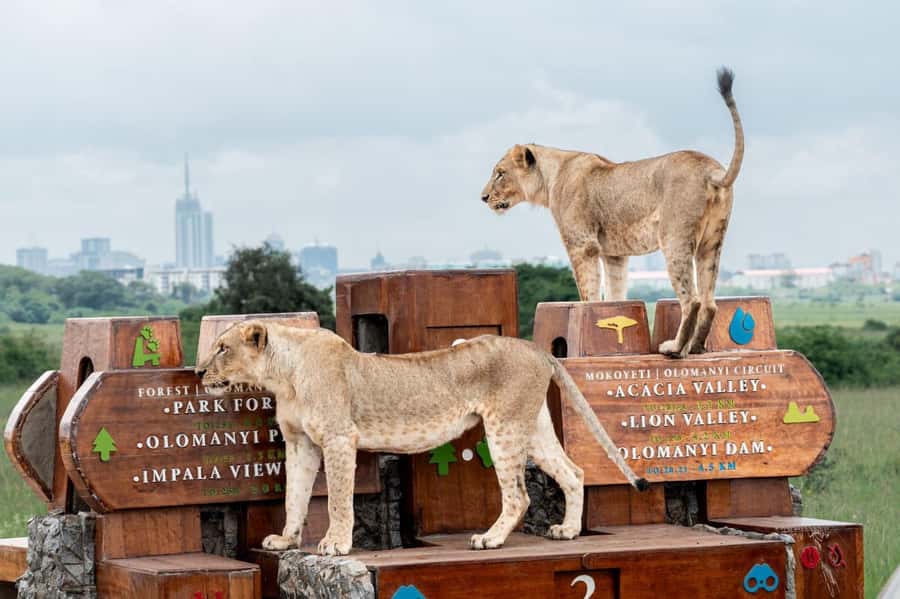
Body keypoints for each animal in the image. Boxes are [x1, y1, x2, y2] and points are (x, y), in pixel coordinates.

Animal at [196, 321, 647, 556]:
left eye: (222, 348)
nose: (199, 372)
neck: (282, 376)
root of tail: (537, 349)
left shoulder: (339, 438)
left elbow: (339, 500)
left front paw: (336, 544)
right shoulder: (300, 443)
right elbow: (295, 495)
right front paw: (287, 539)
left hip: (503, 427)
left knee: (519, 494)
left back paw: (490, 539)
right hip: (530, 425)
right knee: (573, 471)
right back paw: (567, 531)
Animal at [480, 68, 744, 358]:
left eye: (500, 173)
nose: (484, 197)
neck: (551, 178)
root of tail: (712, 170)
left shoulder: (582, 245)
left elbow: (588, 291)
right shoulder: (615, 254)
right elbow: (616, 292)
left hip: (675, 238)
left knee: (692, 300)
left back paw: (674, 348)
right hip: (711, 242)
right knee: (709, 303)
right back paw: (695, 347)